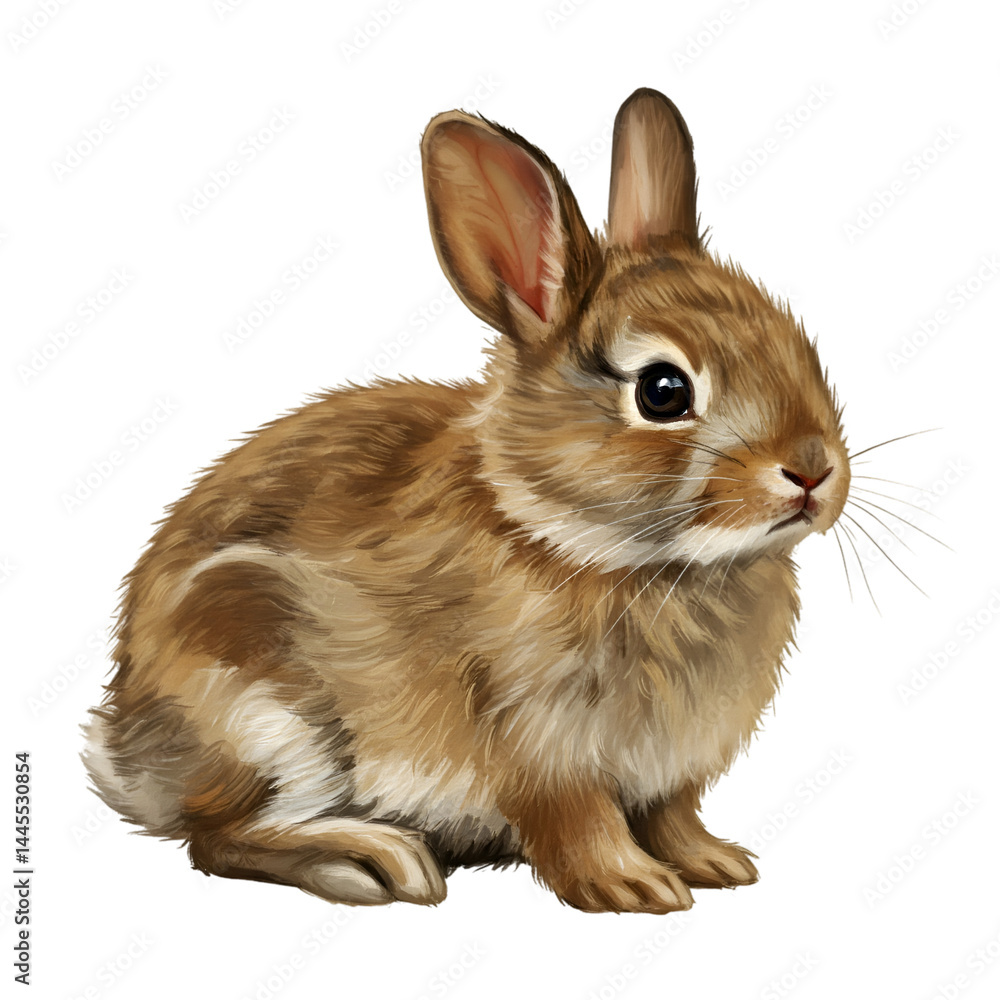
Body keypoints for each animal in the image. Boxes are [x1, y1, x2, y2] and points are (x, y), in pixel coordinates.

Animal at [83, 88, 849, 914]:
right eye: (664, 391)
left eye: (795, 340)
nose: (814, 471)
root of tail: (121, 750)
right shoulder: (541, 750)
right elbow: (579, 823)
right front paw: (633, 885)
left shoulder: (670, 775)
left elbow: (672, 816)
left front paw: (715, 863)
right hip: (264, 704)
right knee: (217, 835)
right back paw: (368, 860)